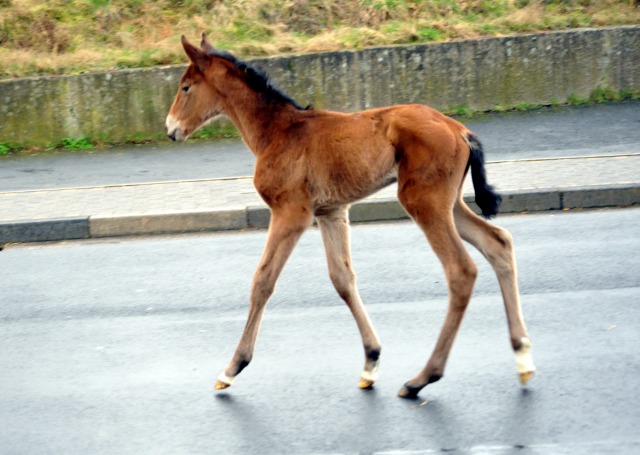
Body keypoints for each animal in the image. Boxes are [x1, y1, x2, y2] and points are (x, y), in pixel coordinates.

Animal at [166, 34, 536, 400]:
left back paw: (422, 378)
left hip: (423, 201)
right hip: (450, 203)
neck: (277, 131)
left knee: (460, 269)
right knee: (498, 243)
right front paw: (370, 362)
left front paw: (231, 370)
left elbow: (263, 280)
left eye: (185, 87)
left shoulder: (291, 213)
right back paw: (522, 356)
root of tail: (459, 129)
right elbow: (342, 279)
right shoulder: (331, 212)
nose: (171, 128)